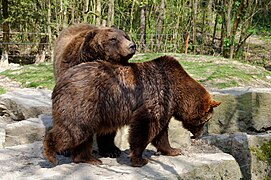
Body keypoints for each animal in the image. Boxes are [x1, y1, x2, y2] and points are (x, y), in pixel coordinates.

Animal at [43, 55, 221, 167]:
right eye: (206, 120)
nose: (198, 135)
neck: (178, 94)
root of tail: (61, 81)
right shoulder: (156, 97)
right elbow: (144, 128)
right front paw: (139, 159)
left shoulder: (165, 106)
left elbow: (161, 133)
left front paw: (174, 150)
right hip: (82, 102)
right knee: (73, 129)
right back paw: (51, 154)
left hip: (90, 111)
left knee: (83, 135)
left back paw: (88, 159)